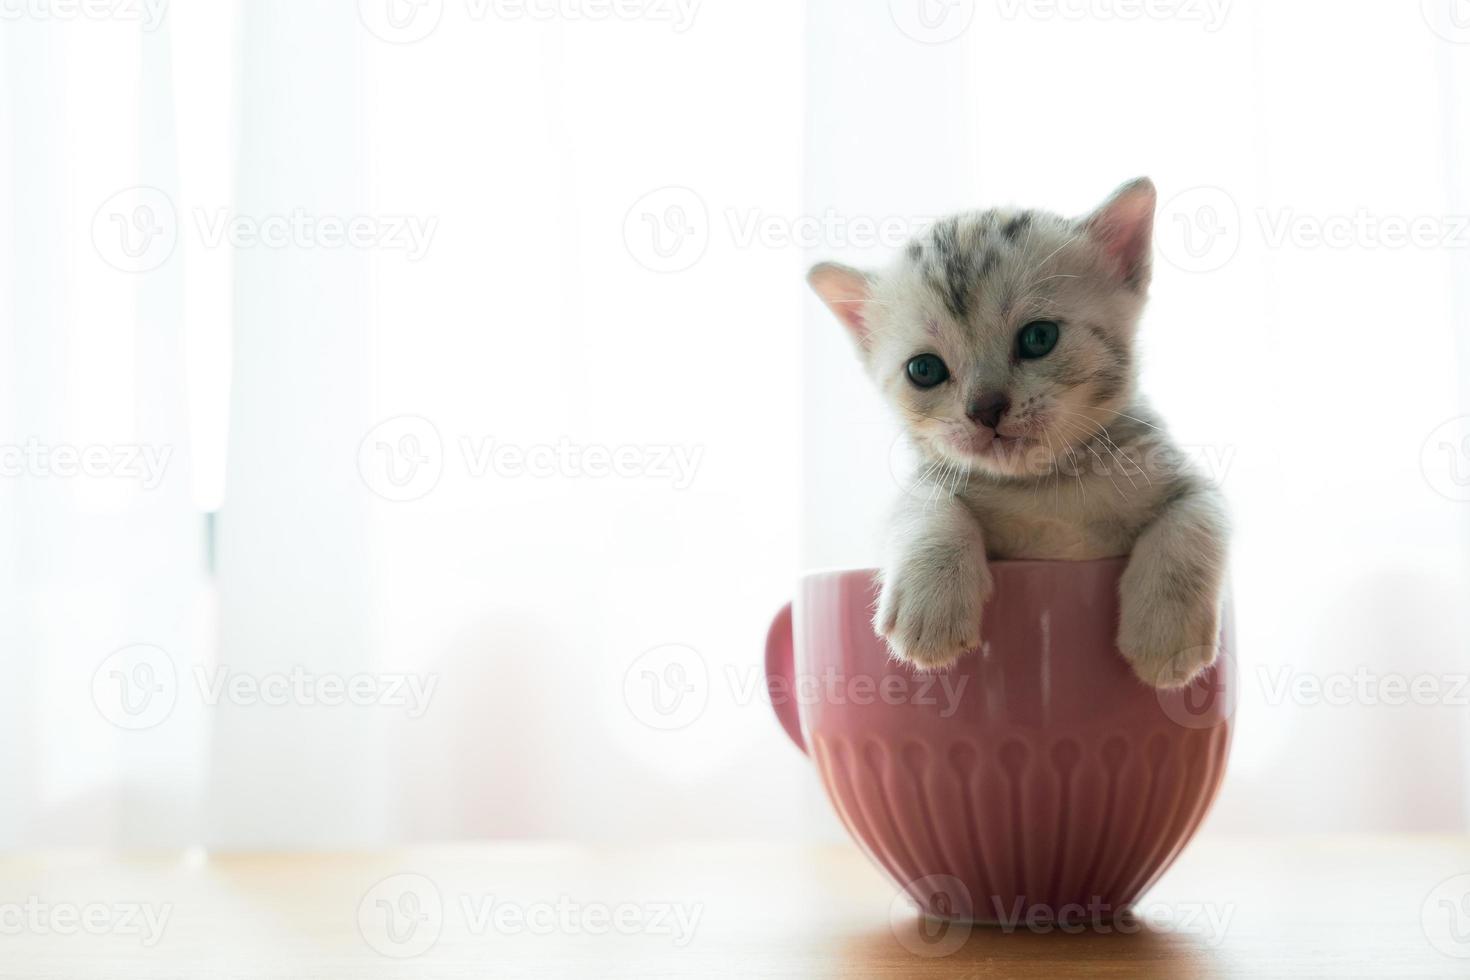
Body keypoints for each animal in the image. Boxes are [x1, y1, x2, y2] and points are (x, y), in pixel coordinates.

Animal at [811, 176, 1223, 690]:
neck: (1045, 485)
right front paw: (931, 601)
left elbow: (1194, 518)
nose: (985, 408)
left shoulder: (1186, 478)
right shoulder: (933, 475)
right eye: (924, 370)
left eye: (1038, 338)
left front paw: (1166, 633)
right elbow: (924, 502)